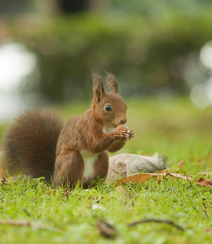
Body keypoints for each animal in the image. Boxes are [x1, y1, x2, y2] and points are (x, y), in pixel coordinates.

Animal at [0, 72, 133, 189]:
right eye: (108, 107)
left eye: (126, 105)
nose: (123, 120)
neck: (105, 124)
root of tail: (54, 179)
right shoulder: (87, 126)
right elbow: (94, 143)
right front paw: (116, 134)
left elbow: (111, 149)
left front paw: (128, 134)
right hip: (70, 160)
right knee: (66, 183)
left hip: (102, 162)